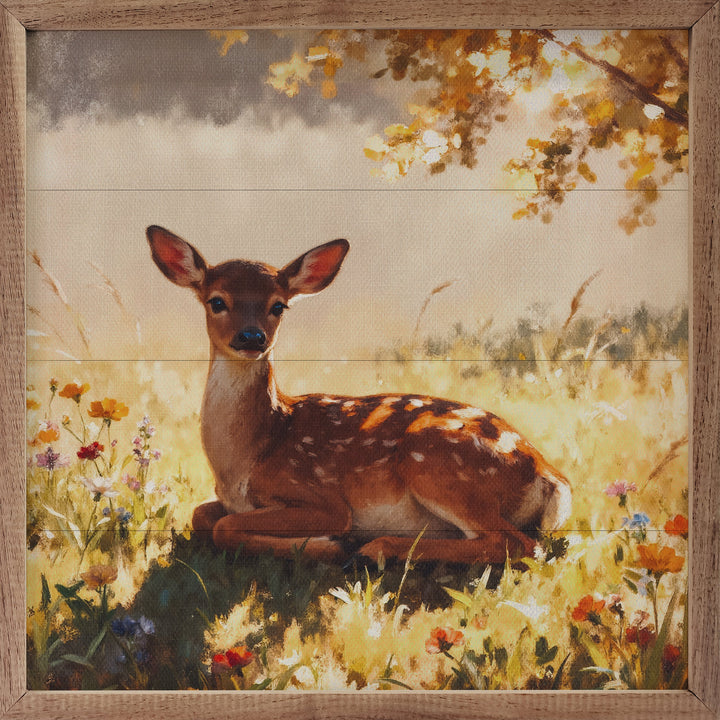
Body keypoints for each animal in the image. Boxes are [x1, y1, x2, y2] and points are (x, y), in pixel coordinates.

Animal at [147, 225, 571, 565]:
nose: (251, 337)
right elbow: (202, 515)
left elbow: (225, 526)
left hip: (436, 460)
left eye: (278, 306)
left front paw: (330, 544)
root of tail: (550, 477)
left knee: (517, 544)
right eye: (216, 300)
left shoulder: (321, 498)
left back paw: (377, 547)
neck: (249, 456)